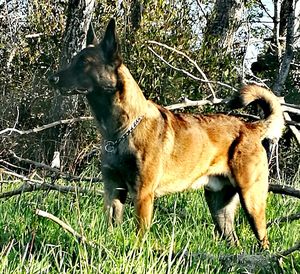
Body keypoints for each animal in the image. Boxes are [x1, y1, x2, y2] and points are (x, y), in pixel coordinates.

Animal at [48, 17, 284, 248]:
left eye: (84, 62)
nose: (52, 79)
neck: (122, 130)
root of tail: (250, 127)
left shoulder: (143, 195)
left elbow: (139, 236)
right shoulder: (113, 191)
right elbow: (111, 227)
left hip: (252, 200)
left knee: (264, 241)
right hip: (219, 206)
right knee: (234, 242)